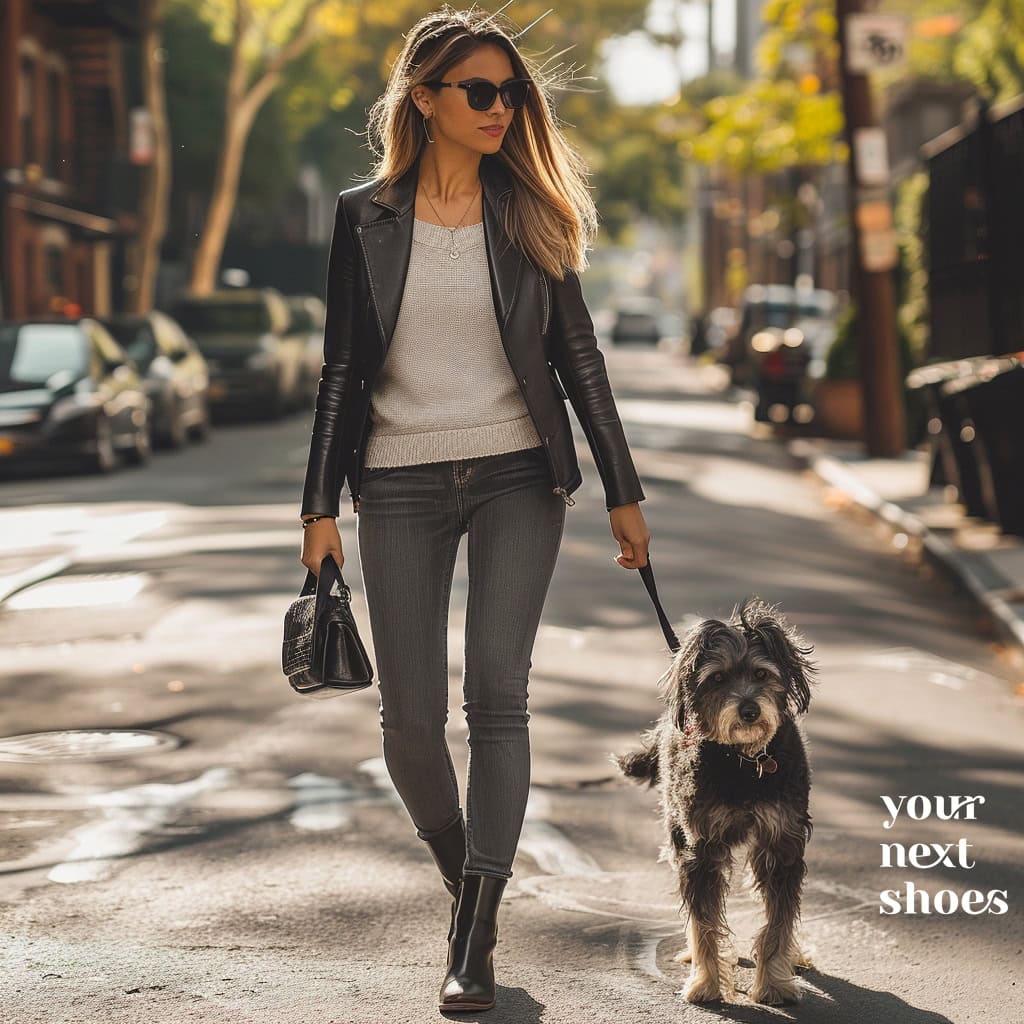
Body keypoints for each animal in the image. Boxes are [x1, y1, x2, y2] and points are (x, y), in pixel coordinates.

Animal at [614, 598, 815, 1003]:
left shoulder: (781, 843)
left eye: (761, 673)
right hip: (677, 832)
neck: (744, 762)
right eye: (718, 678)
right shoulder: (701, 849)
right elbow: (704, 921)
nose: (749, 711)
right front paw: (706, 983)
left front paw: (774, 983)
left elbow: (779, 921)